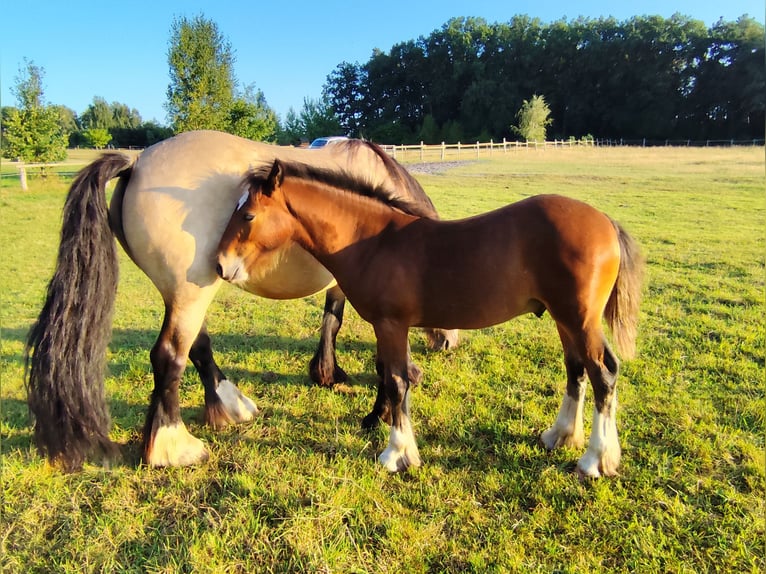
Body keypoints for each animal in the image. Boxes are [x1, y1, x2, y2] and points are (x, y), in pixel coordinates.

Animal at [25, 132, 456, 472]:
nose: (450, 341)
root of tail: (137, 163)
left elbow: (330, 324)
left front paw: (328, 374)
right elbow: (365, 343)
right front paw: (388, 392)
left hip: (185, 292)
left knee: (197, 346)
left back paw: (231, 407)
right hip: (192, 292)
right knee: (169, 356)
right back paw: (174, 448)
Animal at [219, 160, 644, 480]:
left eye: (249, 214)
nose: (221, 265)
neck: (373, 241)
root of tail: (605, 222)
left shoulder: (391, 324)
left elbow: (395, 381)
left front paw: (397, 453)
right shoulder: (387, 326)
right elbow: (388, 374)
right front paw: (382, 426)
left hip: (579, 319)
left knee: (603, 373)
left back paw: (595, 460)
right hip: (564, 319)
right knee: (576, 370)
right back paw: (560, 436)